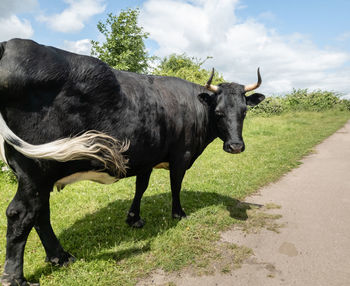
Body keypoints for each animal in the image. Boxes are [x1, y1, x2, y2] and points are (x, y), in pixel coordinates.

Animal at [0, 38, 264, 286]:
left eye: (244, 112)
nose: (236, 146)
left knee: (40, 213)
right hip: (35, 170)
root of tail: (10, 45)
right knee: (21, 214)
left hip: (38, 174)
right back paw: (16, 277)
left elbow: (141, 187)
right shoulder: (181, 156)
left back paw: (60, 257)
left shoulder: (147, 157)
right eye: (218, 113)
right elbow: (175, 185)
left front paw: (134, 218)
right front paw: (179, 214)